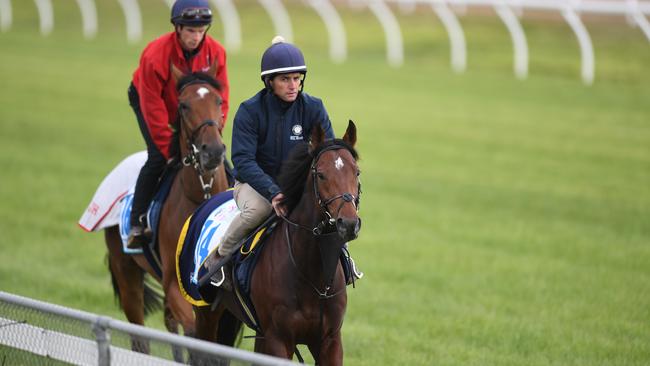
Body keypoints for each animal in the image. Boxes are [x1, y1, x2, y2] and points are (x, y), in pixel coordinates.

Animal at [102, 66, 239, 354]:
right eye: (184, 105)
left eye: (218, 101)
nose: (213, 151)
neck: (199, 196)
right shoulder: (175, 285)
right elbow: (193, 333)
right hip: (126, 272)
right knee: (139, 334)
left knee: (169, 323)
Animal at [195, 121, 362, 364]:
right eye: (321, 175)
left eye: (356, 172)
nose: (348, 223)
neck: (313, 277)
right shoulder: (279, 339)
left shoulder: (329, 341)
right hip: (205, 313)